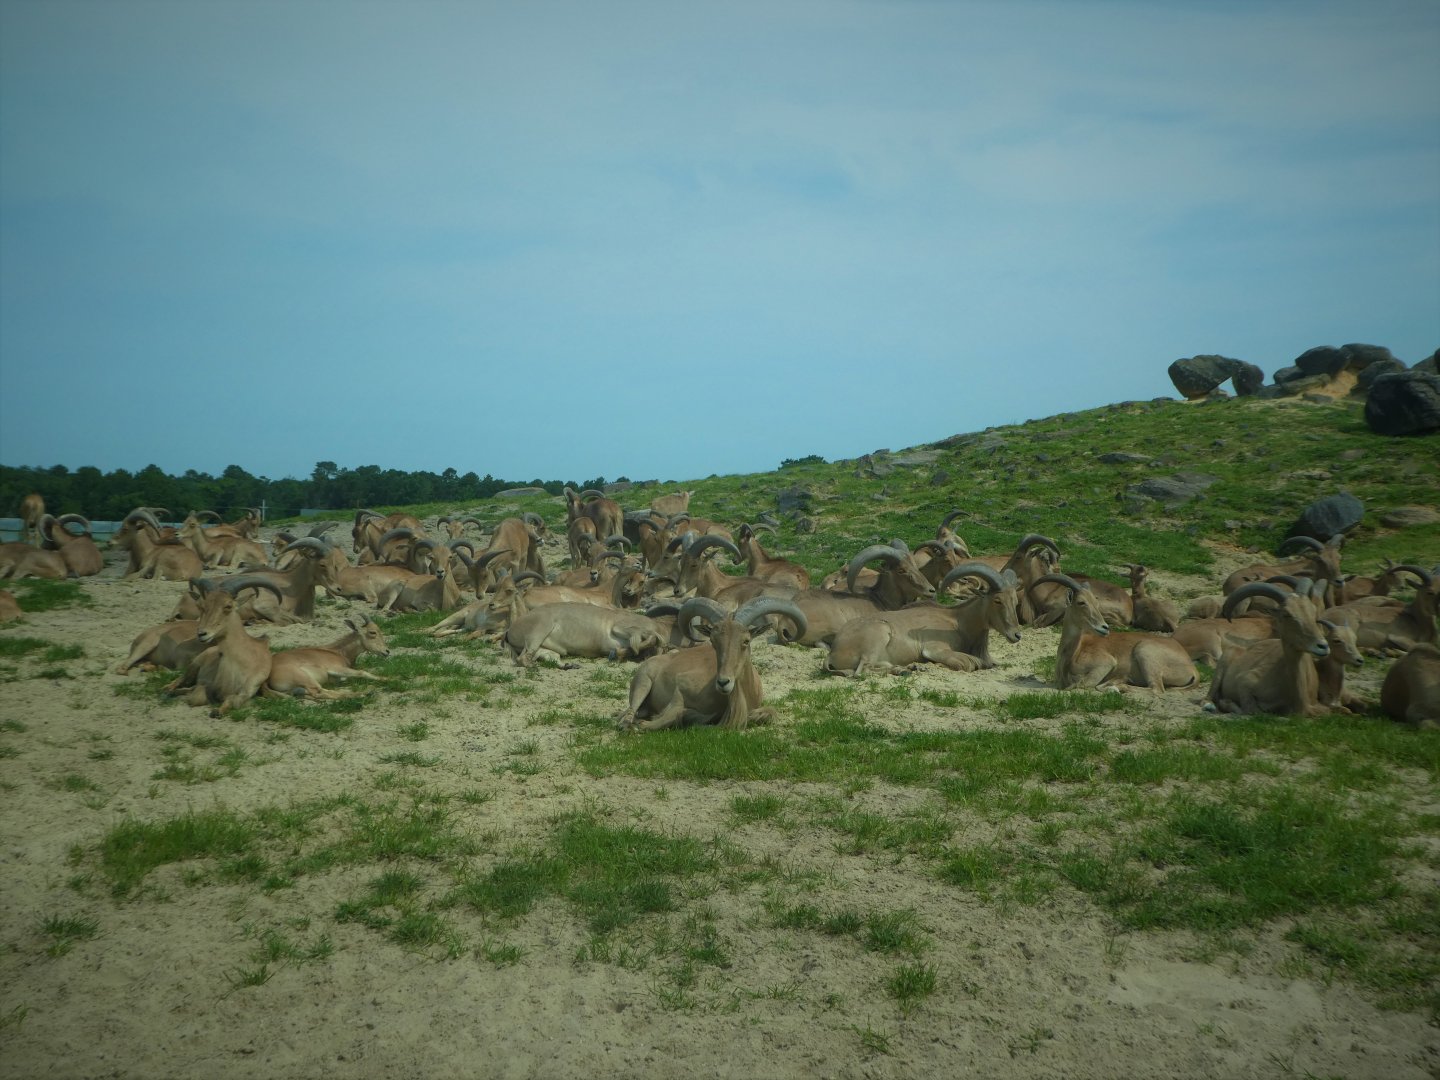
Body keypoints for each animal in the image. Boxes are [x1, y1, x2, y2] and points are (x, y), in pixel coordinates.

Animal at [615, 595, 807, 732]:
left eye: (746, 640)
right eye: (714, 641)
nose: (723, 682)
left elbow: (769, 713)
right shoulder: (681, 687)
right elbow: (672, 714)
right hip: (643, 682)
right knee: (629, 713)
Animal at [1036, 572, 1197, 694]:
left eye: (1096, 602)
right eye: (1081, 602)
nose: (1104, 627)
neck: (1073, 653)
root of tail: (1193, 669)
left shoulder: (1105, 663)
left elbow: (1080, 685)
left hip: (1145, 651)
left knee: (1156, 689)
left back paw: (1117, 686)